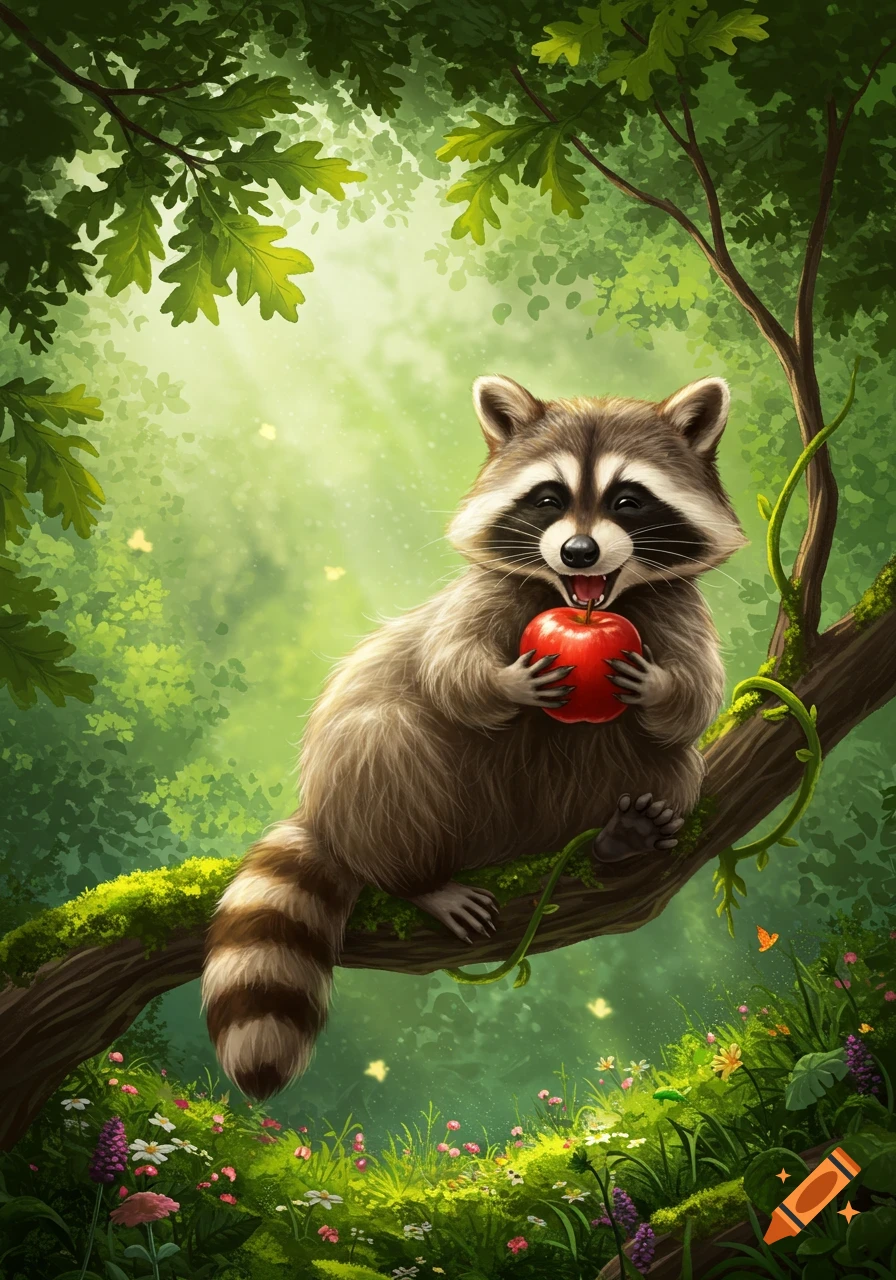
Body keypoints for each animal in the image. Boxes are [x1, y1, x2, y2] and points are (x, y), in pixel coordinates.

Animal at [202, 374, 746, 1099]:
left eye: (628, 501)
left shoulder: (679, 607)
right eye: (548, 499)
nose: (579, 552)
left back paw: (618, 838)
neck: (579, 598)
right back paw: (421, 881)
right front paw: (508, 687)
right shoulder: (481, 597)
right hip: (375, 788)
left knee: (673, 762)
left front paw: (656, 688)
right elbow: (449, 668)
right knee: (385, 739)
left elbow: (694, 699)